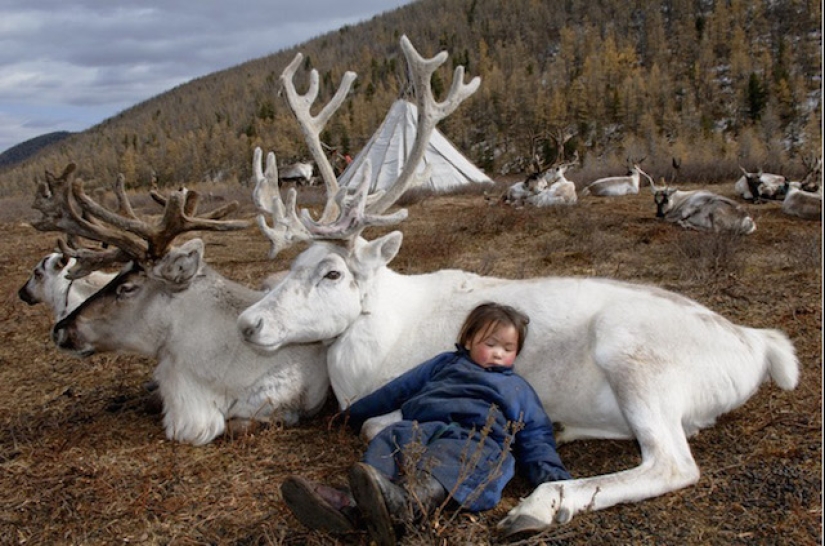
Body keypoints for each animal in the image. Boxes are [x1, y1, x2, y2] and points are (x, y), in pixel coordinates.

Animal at [235, 35, 799, 535]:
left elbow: (378, 424)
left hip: (635, 359)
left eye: (332, 272)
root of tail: (757, 345)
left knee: (672, 463)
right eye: (293, 264)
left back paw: (540, 505)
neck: (375, 343)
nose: (247, 323)